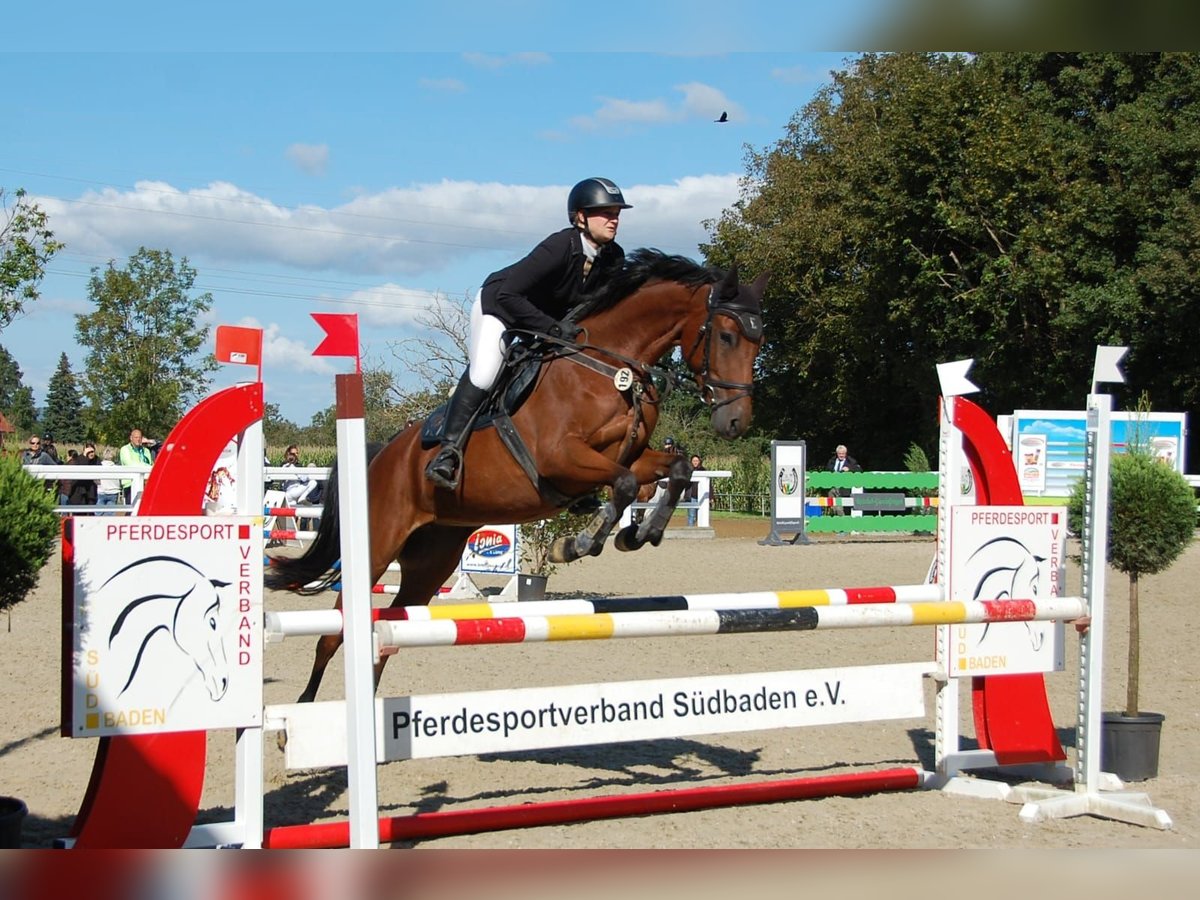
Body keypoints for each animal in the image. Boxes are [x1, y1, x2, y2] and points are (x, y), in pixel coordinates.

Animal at [267, 252, 763, 705]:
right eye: (725, 336)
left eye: (759, 344)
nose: (736, 423)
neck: (611, 369)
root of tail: (380, 456)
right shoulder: (560, 458)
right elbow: (622, 485)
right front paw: (576, 544)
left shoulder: (635, 457)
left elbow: (674, 470)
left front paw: (640, 534)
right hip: (378, 545)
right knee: (334, 633)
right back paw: (303, 715)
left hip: (432, 560)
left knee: (388, 630)